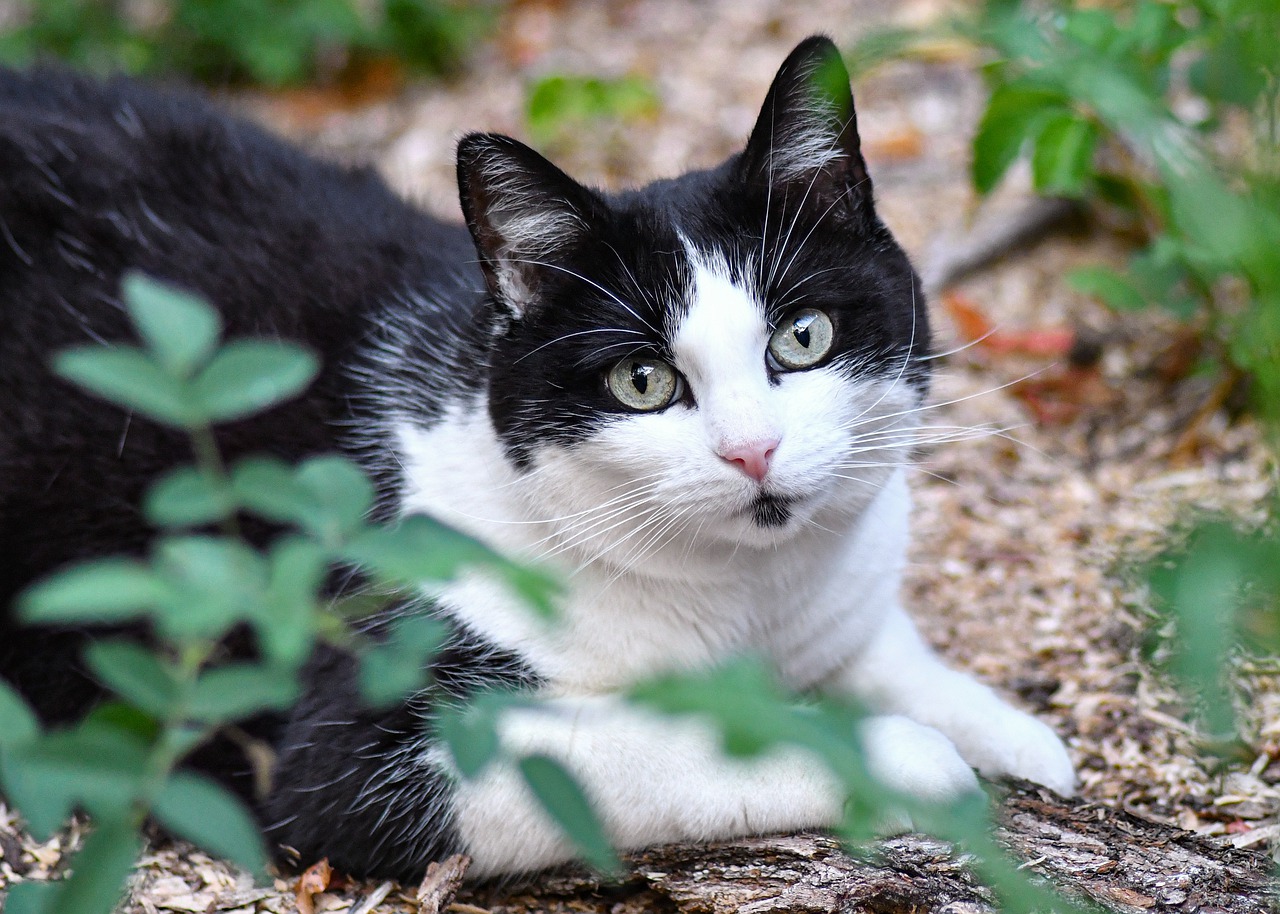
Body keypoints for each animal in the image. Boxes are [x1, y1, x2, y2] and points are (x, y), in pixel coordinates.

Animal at [0, 37, 1075, 880]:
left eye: (802, 337)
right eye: (641, 382)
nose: (752, 450)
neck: (746, 599)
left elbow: (880, 650)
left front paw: (1011, 733)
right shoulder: (354, 750)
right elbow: (676, 744)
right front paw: (906, 757)